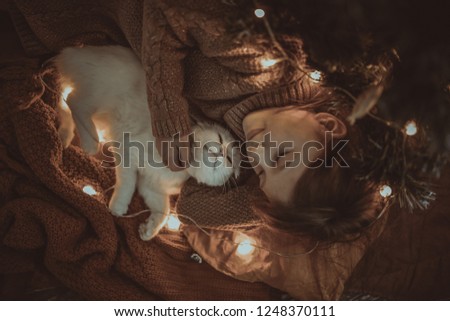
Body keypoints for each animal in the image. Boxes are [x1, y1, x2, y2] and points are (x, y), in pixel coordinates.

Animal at [54, 45, 241, 240]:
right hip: (99, 94)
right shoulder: (129, 151)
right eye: (219, 139)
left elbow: (164, 211)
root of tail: (76, 51)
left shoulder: (150, 186)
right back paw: (90, 142)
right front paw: (118, 207)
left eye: (229, 158)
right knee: (74, 103)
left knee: (65, 102)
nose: (220, 151)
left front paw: (148, 231)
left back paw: (64, 135)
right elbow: (127, 184)